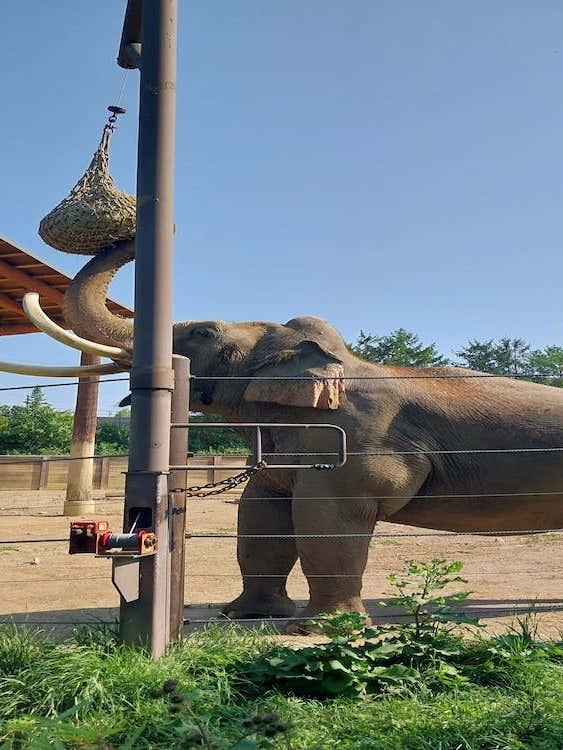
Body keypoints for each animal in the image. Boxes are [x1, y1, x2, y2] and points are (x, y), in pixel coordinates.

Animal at [62, 241, 563, 627]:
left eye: (204, 332)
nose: (129, 236)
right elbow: (261, 515)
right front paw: (244, 615)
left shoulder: (357, 443)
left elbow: (325, 520)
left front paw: (317, 629)